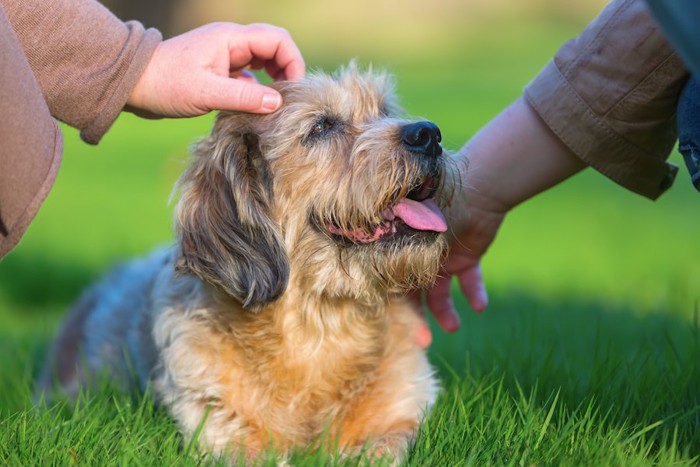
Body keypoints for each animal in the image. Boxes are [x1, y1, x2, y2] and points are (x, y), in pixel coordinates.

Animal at [37, 64, 454, 462]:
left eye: (385, 111)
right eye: (321, 126)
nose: (429, 134)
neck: (318, 327)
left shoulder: (399, 414)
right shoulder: (218, 422)